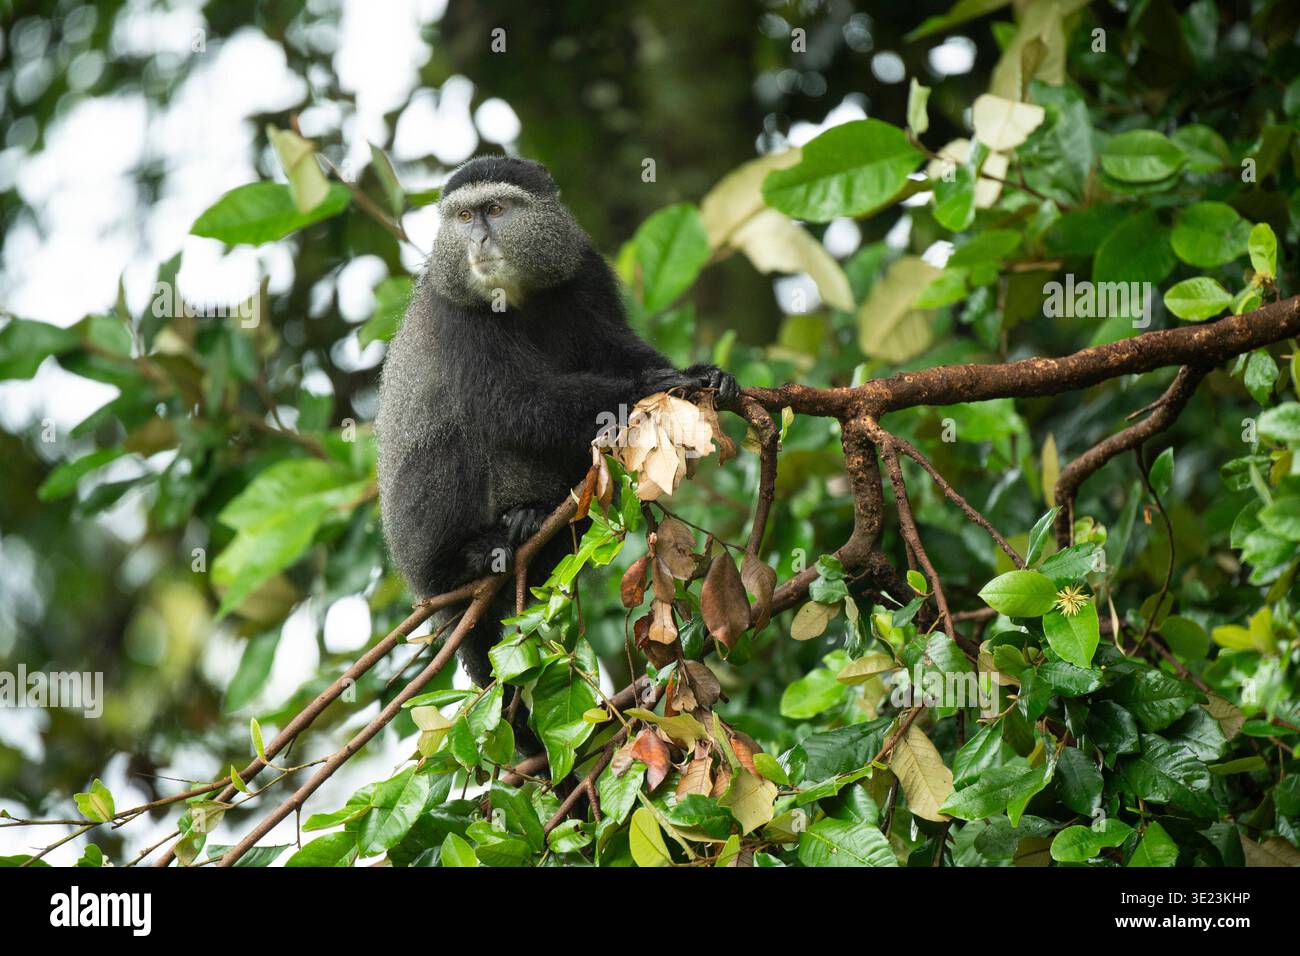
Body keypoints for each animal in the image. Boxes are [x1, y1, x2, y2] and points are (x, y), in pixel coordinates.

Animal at [376, 156, 738, 752]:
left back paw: (531, 519)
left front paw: (702, 373)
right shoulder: (458, 317)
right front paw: (652, 387)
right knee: (453, 438)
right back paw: (471, 555)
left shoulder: (586, 275)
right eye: (464, 216)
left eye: (497, 209)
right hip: (420, 543)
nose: (477, 239)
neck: (521, 294)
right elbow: (513, 402)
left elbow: (611, 345)